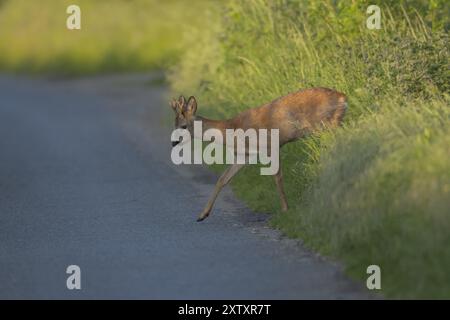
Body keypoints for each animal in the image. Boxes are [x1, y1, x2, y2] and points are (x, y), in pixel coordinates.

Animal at [171, 87, 346, 222]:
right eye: (175, 124)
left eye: (184, 126)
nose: (173, 142)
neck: (232, 129)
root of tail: (343, 98)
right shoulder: (245, 155)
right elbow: (223, 179)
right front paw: (202, 215)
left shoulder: (271, 146)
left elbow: (277, 177)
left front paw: (285, 210)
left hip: (327, 125)